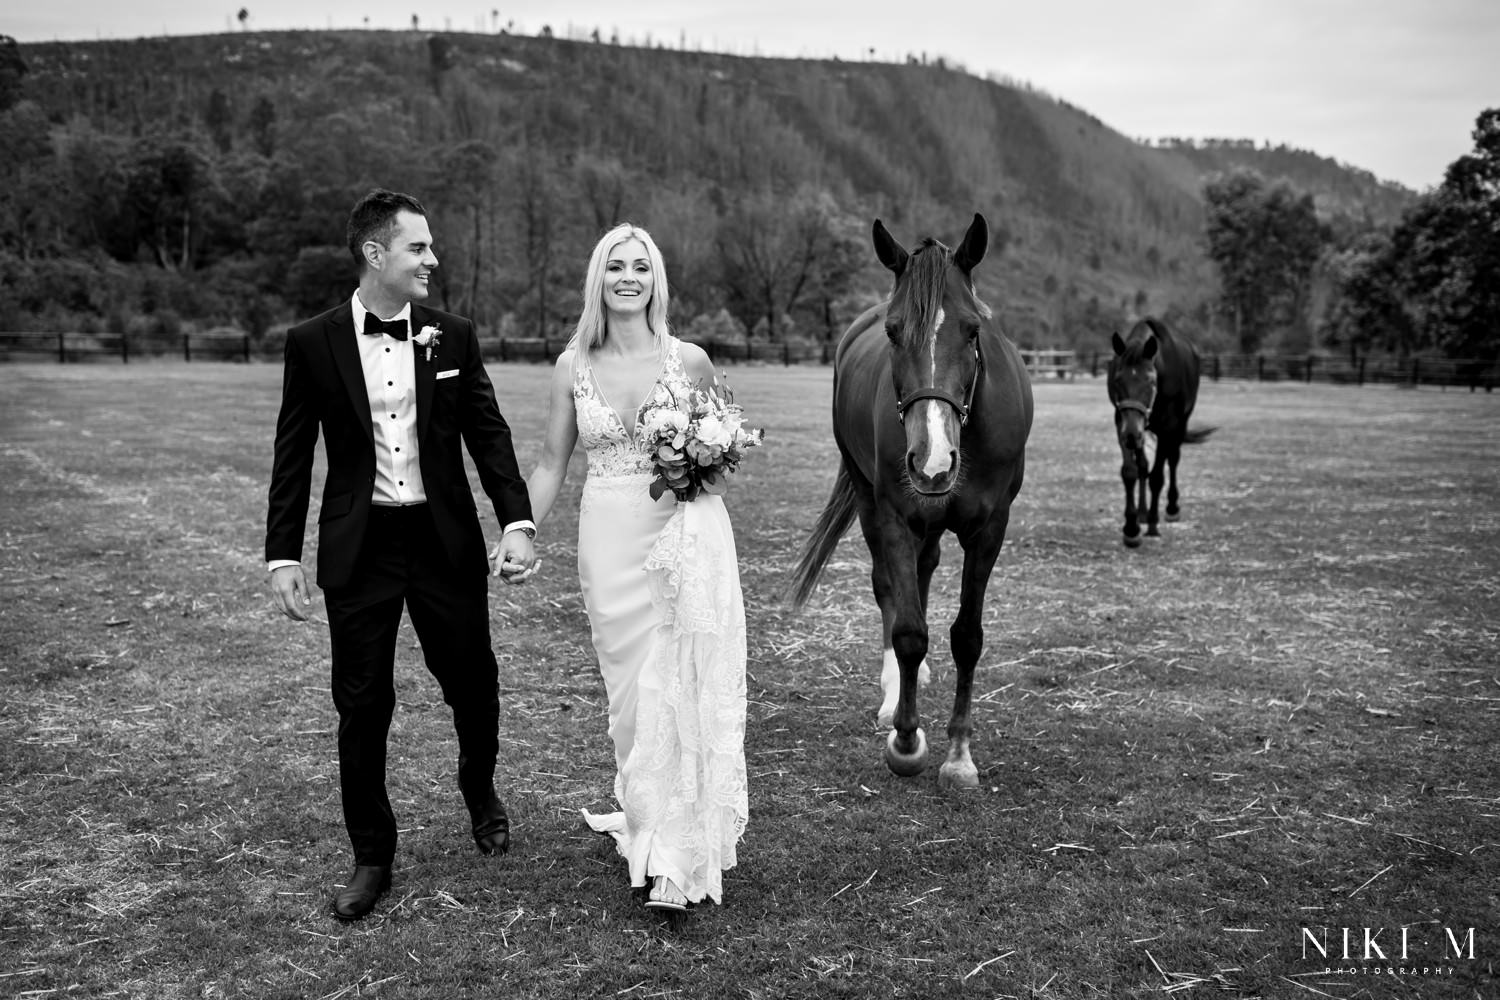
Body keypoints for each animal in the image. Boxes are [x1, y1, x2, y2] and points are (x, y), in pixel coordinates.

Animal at [786, 212, 1032, 791]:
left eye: (973, 329)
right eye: (894, 332)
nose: (933, 460)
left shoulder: (991, 529)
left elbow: (966, 636)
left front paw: (959, 754)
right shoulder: (896, 516)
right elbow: (907, 630)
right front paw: (906, 739)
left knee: (923, 572)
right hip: (870, 499)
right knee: (890, 592)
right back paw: (895, 694)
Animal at [1110, 316, 1212, 548]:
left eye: (1151, 381)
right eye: (1118, 380)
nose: (1131, 434)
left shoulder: (1168, 426)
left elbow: (1157, 477)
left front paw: (1153, 525)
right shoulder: (1121, 422)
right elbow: (1131, 472)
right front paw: (1131, 528)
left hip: (1179, 424)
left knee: (1173, 460)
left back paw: (1172, 508)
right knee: (1143, 466)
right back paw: (1142, 512)